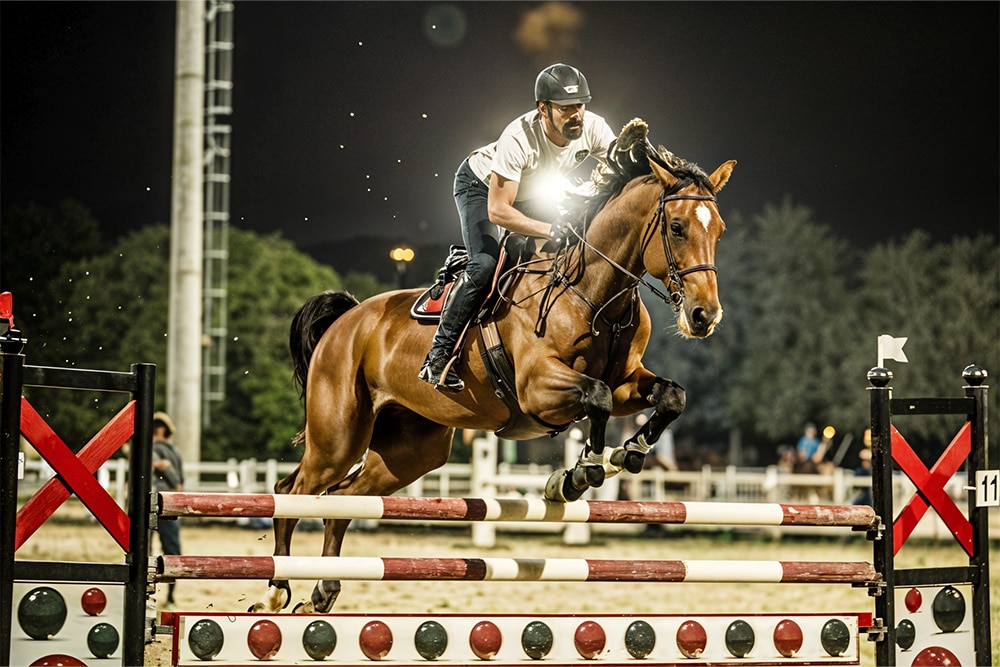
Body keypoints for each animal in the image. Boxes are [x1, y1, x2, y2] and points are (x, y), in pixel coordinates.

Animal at [250, 121, 736, 616]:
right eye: (676, 227)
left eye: (719, 231)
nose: (704, 316)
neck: (595, 294)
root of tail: (346, 319)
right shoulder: (537, 388)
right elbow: (595, 396)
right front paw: (581, 473)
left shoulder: (626, 384)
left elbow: (669, 396)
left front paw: (626, 453)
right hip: (338, 437)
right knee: (293, 491)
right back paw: (276, 589)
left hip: (412, 450)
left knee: (343, 500)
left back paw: (323, 591)